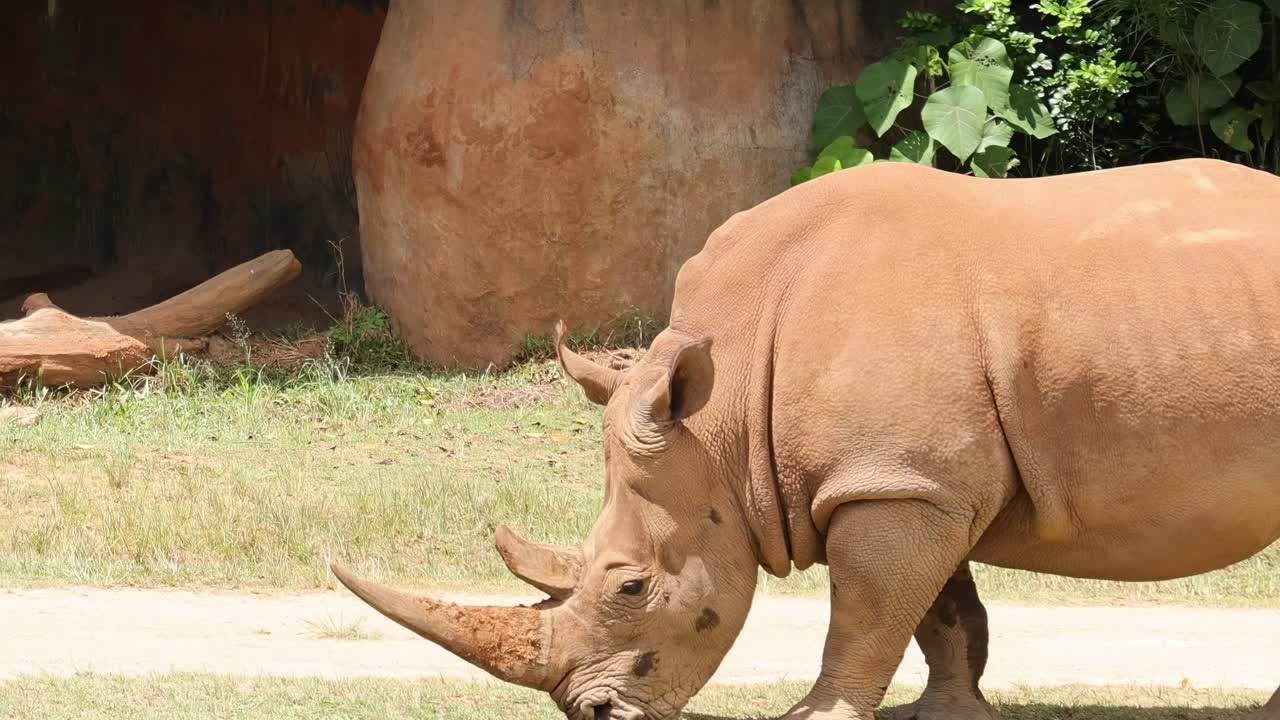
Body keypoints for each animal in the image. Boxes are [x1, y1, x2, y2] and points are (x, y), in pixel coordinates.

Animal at [331, 158, 1280, 720]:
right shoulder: (907, 479)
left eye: (631, 587)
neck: (724, 413)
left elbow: (867, 611)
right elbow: (939, 611)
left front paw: (814, 717)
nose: (592, 716)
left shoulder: (896, 482)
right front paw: (945, 715)